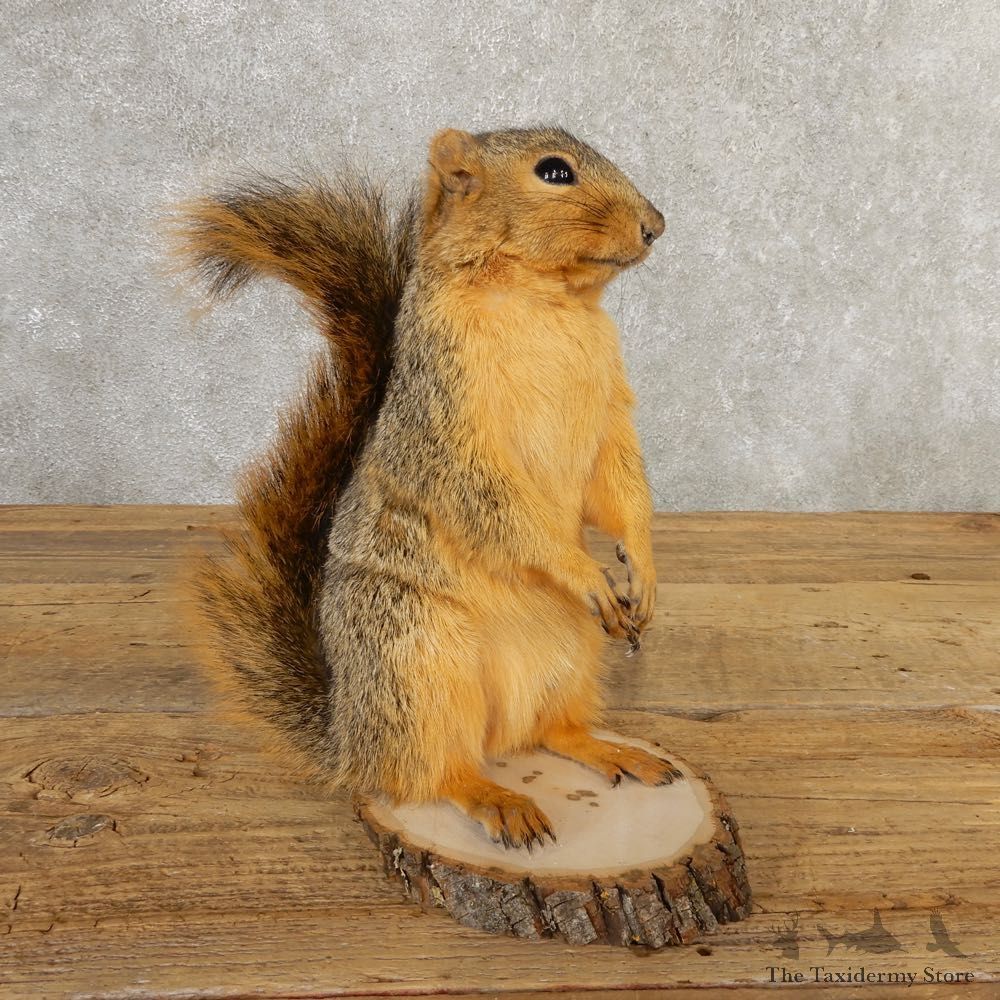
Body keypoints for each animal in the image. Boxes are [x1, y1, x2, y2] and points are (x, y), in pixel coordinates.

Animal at [174, 126, 678, 849]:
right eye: (554, 172)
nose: (655, 225)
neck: (544, 301)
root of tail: (351, 739)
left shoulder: (610, 409)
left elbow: (619, 485)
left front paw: (642, 568)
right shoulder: (445, 420)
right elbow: (489, 498)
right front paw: (585, 572)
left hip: (567, 660)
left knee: (551, 731)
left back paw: (614, 750)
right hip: (414, 662)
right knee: (432, 773)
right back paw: (495, 798)